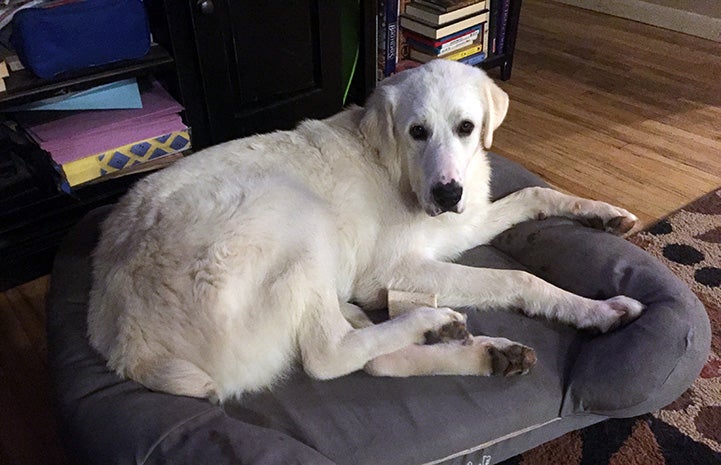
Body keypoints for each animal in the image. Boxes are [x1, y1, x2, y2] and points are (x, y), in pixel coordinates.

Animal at [87, 60, 644, 402]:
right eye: (417, 132)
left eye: (466, 128)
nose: (447, 195)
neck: (399, 170)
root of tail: (129, 343)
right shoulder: (390, 272)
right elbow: (517, 279)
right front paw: (594, 310)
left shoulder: (461, 224)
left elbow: (534, 195)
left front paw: (603, 212)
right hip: (297, 213)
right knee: (328, 356)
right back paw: (429, 321)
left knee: (370, 358)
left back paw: (483, 350)